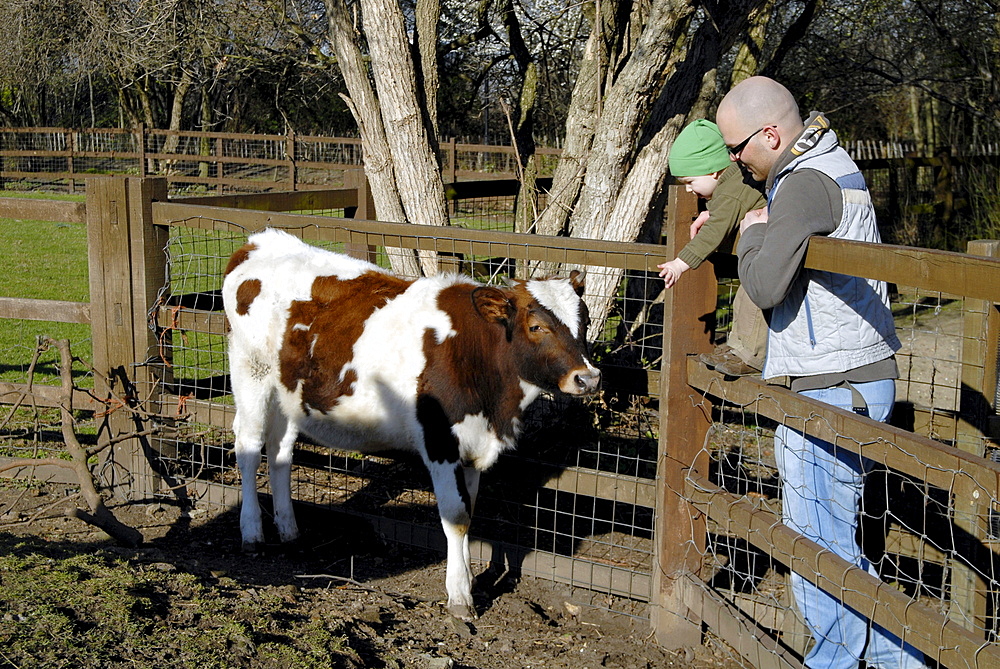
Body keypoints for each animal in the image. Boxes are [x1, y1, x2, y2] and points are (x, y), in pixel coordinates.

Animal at [223, 227, 596, 620]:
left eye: (584, 322)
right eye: (536, 326)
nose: (588, 378)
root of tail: (262, 239)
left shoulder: (473, 443)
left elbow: (469, 509)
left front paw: (465, 578)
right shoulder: (439, 440)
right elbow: (455, 515)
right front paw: (460, 597)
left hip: (289, 393)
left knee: (281, 452)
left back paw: (289, 531)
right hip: (250, 373)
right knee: (248, 448)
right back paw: (252, 533)